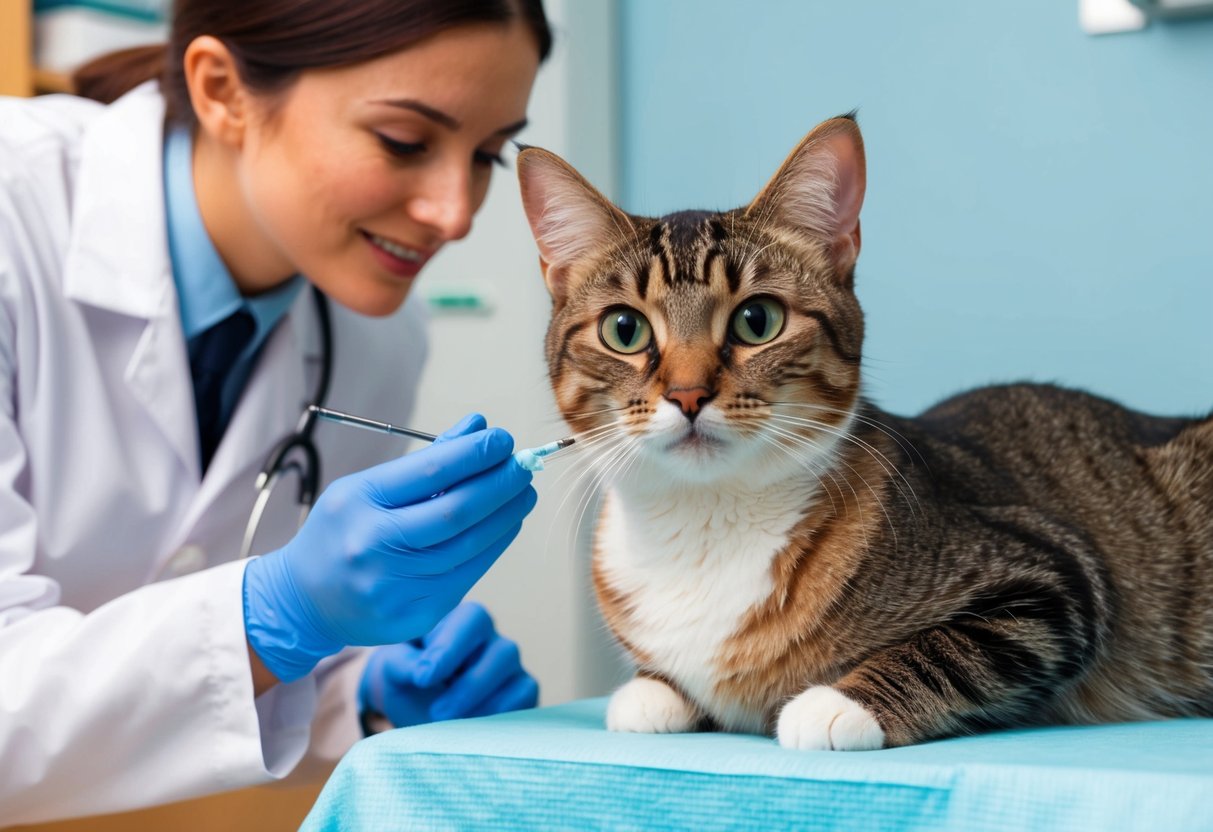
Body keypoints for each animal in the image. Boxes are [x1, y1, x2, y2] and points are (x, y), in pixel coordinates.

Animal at [514, 114, 1213, 751]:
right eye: (624, 330)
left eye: (757, 320)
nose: (688, 394)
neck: (705, 519)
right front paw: (651, 692)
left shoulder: (1052, 580)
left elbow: (950, 649)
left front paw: (837, 705)